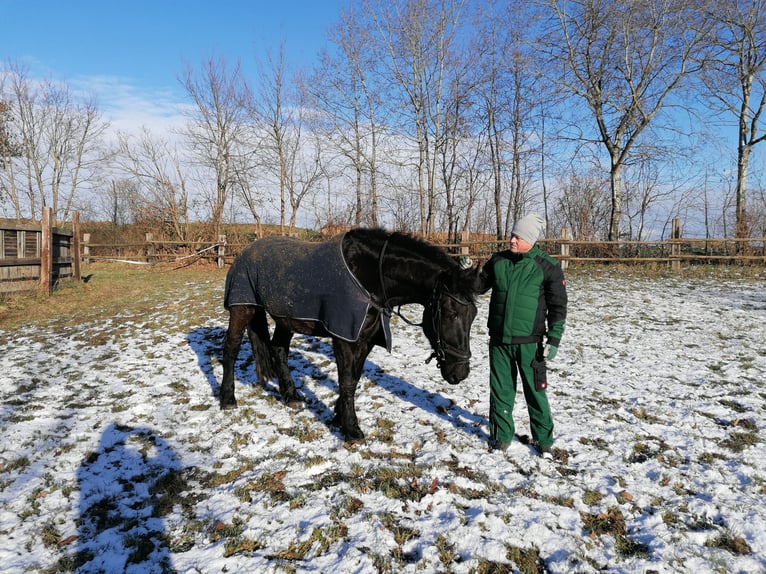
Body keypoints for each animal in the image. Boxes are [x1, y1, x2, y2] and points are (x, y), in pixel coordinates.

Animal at [220, 227, 484, 442]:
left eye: (473, 315)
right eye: (450, 313)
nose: (460, 373)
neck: (369, 276)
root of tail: (244, 252)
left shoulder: (365, 339)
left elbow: (354, 379)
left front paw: (339, 416)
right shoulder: (344, 337)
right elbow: (346, 380)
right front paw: (351, 429)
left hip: (285, 318)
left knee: (278, 349)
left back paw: (291, 395)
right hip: (242, 308)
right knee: (231, 349)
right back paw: (227, 399)